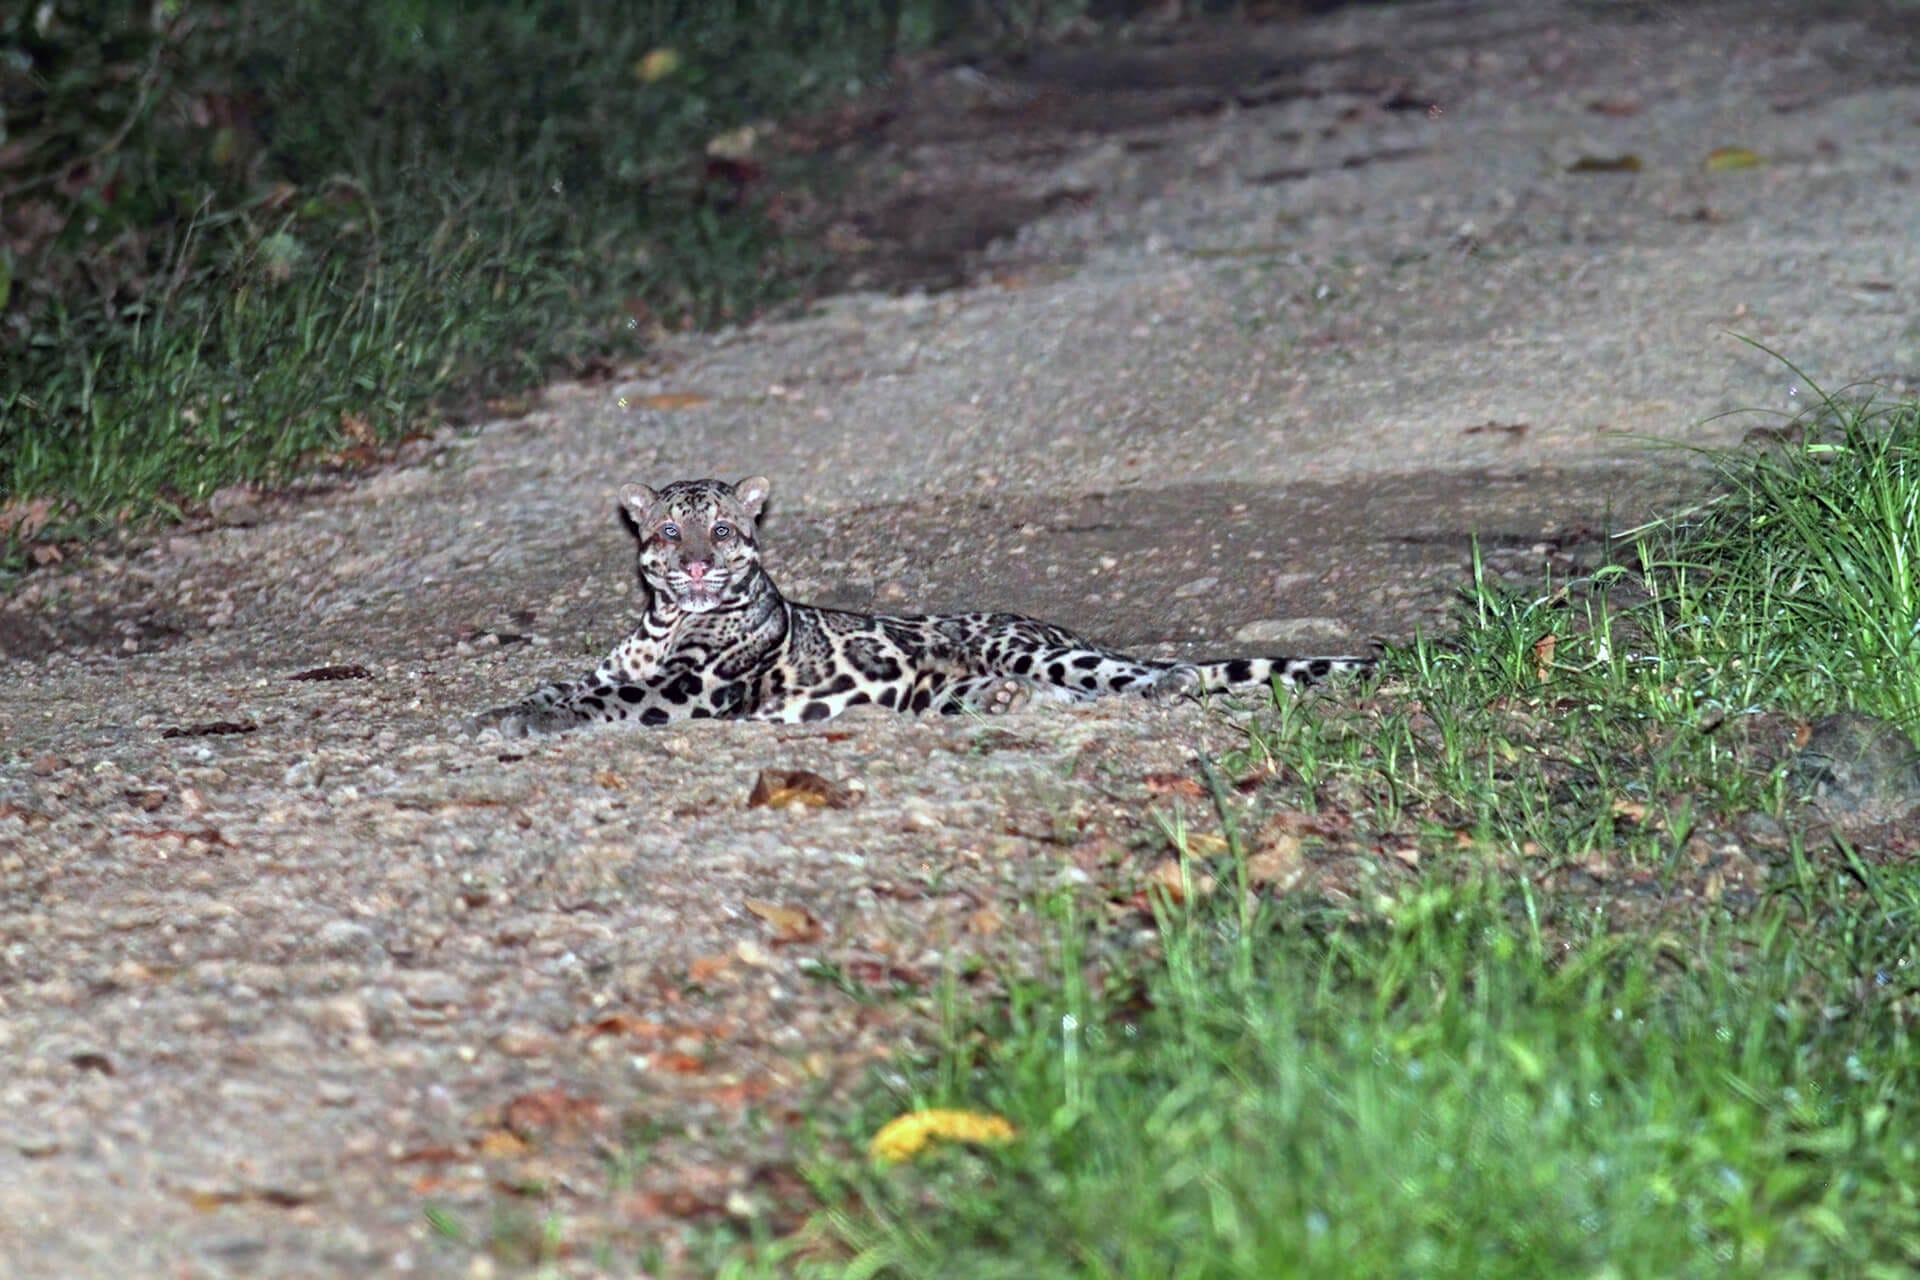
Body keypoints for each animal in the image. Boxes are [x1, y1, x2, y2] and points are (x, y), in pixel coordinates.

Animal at [473, 475, 1376, 737]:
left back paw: (1162, 684)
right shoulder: (628, 664)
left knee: (1127, 673)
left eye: (723, 530)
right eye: (670, 529)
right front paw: (510, 706)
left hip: (1036, 644)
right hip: (938, 688)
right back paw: (1003, 702)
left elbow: (610, 699)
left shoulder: (694, 687)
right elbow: (575, 683)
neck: (671, 620)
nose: (695, 563)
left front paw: (528, 720)